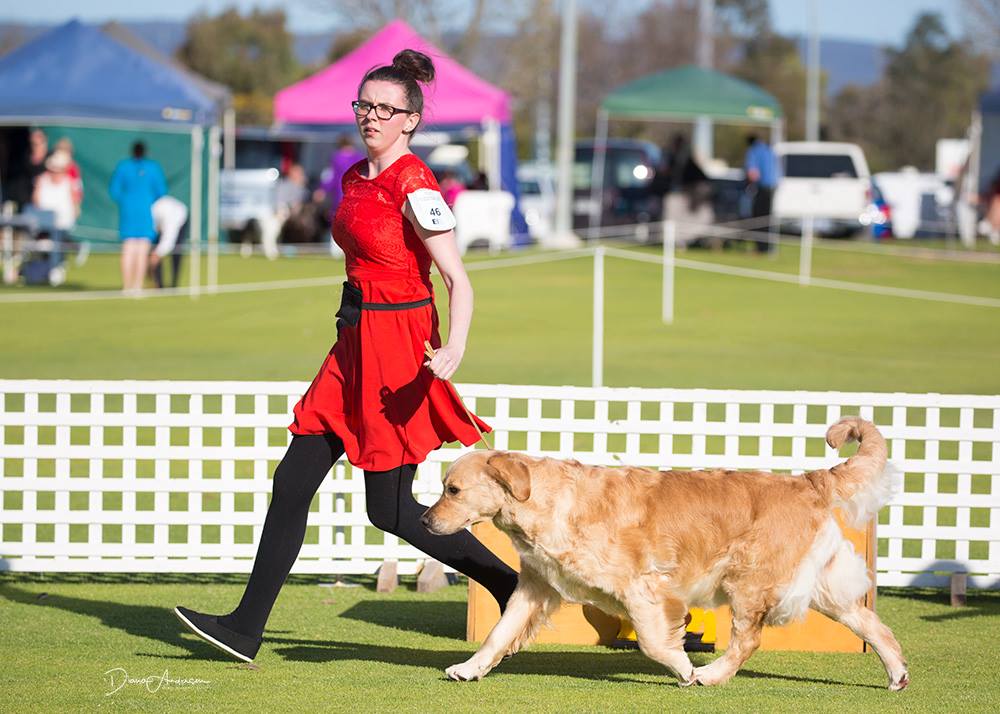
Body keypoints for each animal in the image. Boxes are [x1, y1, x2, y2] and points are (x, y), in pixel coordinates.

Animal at [420, 414, 908, 688]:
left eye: (452, 489)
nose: (424, 521)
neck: (548, 502)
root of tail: (807, 480)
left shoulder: (644, 587)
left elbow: (654, 642)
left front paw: (685, 668)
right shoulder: (537, 588)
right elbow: (498, 634)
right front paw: (469, 668)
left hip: (747, 580)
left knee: (748, 639)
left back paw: (712, 675)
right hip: (822, 587)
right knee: (870, 623)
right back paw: (897, 674)